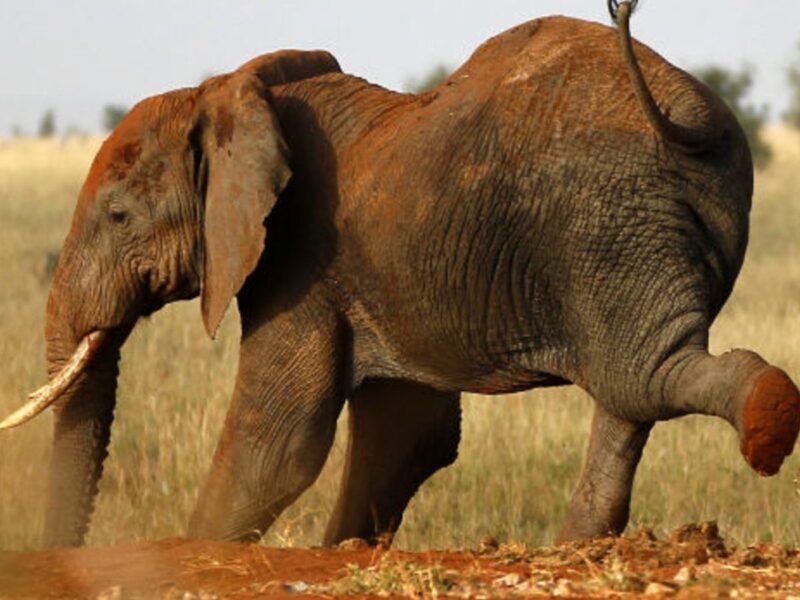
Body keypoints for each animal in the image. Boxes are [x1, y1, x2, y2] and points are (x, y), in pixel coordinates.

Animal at [1, 3, 800, 548]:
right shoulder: (367, 273)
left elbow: (278, 443)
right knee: (629, 389)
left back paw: (767, 423)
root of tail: (691, 113)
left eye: (117, 217)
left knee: (641, 375)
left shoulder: (299, 256)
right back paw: (579, 546)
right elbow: (408, 433)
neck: (224, 93)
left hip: (608, 222)